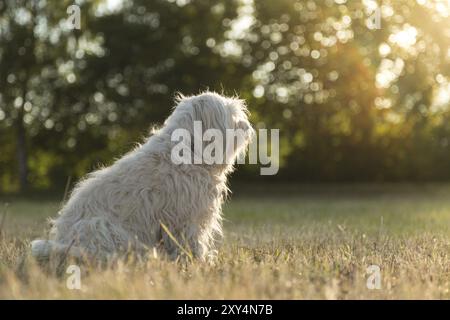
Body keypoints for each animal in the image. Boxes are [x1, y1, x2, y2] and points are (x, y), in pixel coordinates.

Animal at [31, 91, 253, 262]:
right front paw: (199, 264)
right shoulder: (186, 219)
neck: (188, 149)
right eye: (231, 115)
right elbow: (191, 244)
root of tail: (63, 243)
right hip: (101, 226)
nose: (248, 127)